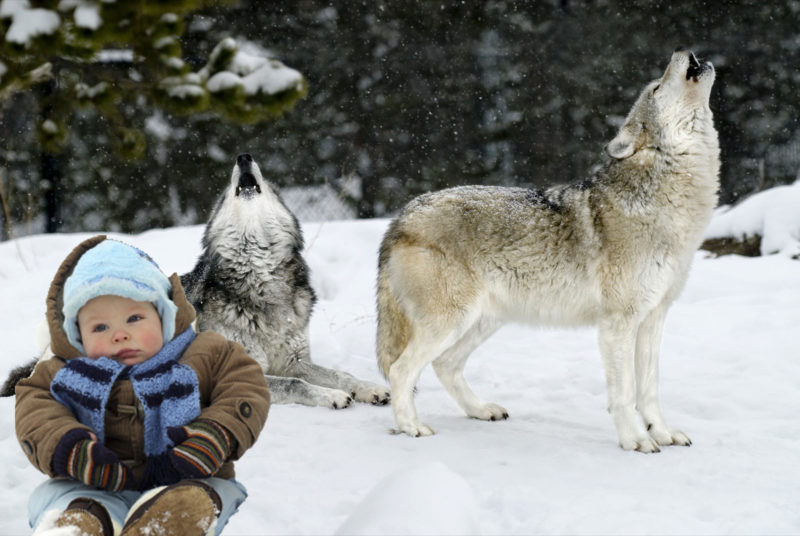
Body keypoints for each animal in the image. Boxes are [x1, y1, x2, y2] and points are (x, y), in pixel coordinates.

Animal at [182, 153, 390, 408]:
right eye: (225, 195)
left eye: (271, 188)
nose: (243, 157)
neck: (260, 278)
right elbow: (295, 384)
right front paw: (332, 395)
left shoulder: (292, 362)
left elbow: (341, 374)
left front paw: (370, 388)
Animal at [376, 49, 719, 452]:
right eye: (656, 87)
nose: (685, 52)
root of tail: (402, 215)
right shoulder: (618, 323)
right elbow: (624, 393)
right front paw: (635, 440)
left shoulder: (653, 318)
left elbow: (649, 389)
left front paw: (662, 433)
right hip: (451, 320)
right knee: (401, 370)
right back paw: (411, 427)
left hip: (482, 321)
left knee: (444, 364)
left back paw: (480, 410)